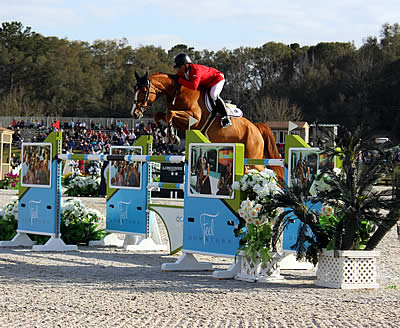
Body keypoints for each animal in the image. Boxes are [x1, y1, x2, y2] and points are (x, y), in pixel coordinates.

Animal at [131, 71, 284, 182]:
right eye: (135, 89)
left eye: (143, 90)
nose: (135, 113)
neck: (176, 91)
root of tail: (256, 127)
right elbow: (159, 115)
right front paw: (166, 135)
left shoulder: (194, 118)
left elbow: (170, 114)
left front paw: (172, 137)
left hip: (254, 157)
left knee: (266, 172)